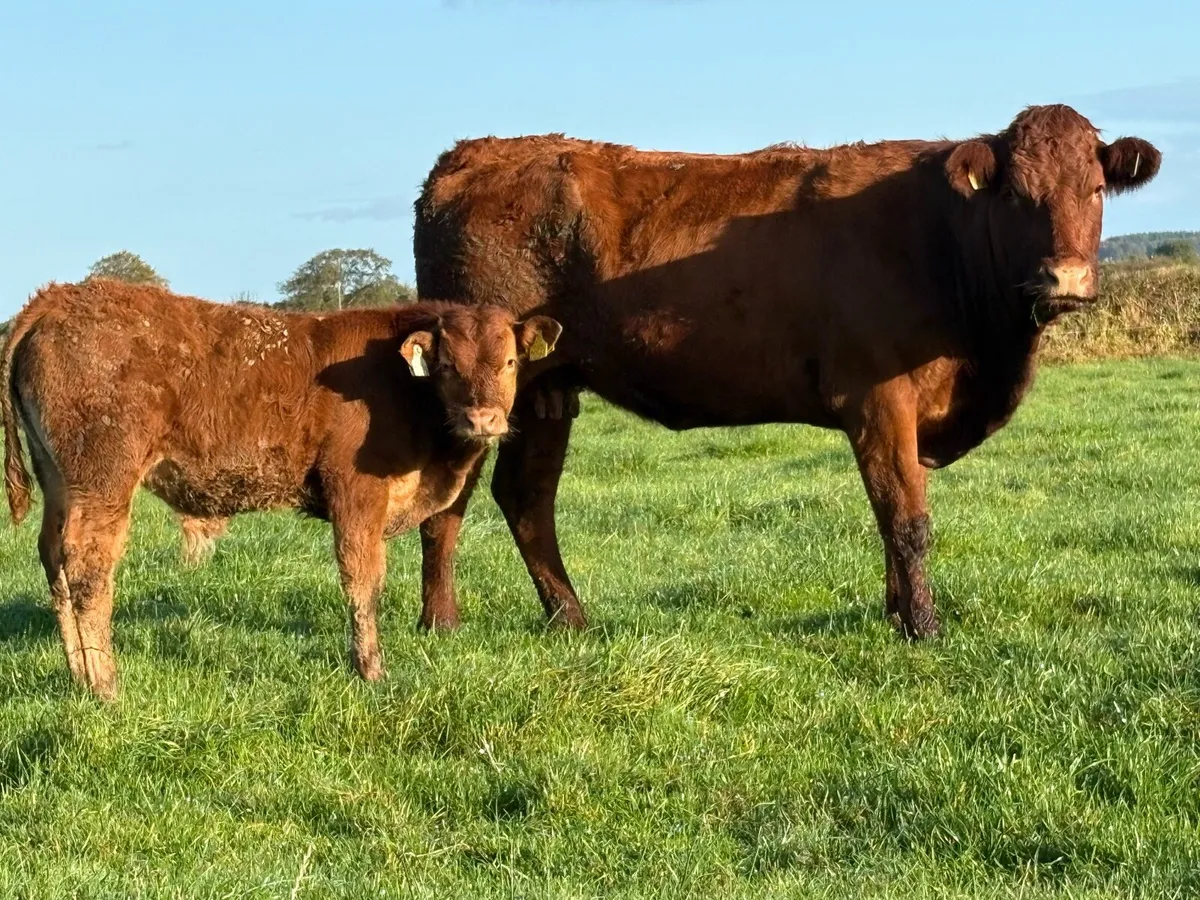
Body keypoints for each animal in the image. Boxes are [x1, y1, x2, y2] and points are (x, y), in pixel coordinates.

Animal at [1, 280, 562, 699]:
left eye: (510, 362)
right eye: (447, 365)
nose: (482, 419)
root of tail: (57, 298)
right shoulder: (356, 493)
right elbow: (363, 580)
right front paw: (371, 671)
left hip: (61, 481)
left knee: (54, 558)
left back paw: (78, 675)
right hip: (105, 479)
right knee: (89, 566)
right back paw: (106, 686)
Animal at [412, 104, 1160, 639]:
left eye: (1097, 189)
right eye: (1015, 197)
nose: (1064, 278)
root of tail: (471, 155)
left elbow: (894, 514)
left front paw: (895, 614)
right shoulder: (876, 396)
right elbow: (906, 519)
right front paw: (924, 628)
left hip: (548, 386)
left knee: (527, 497)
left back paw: (569, 618)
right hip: (481, 389)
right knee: (450, 500)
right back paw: (440, 624)